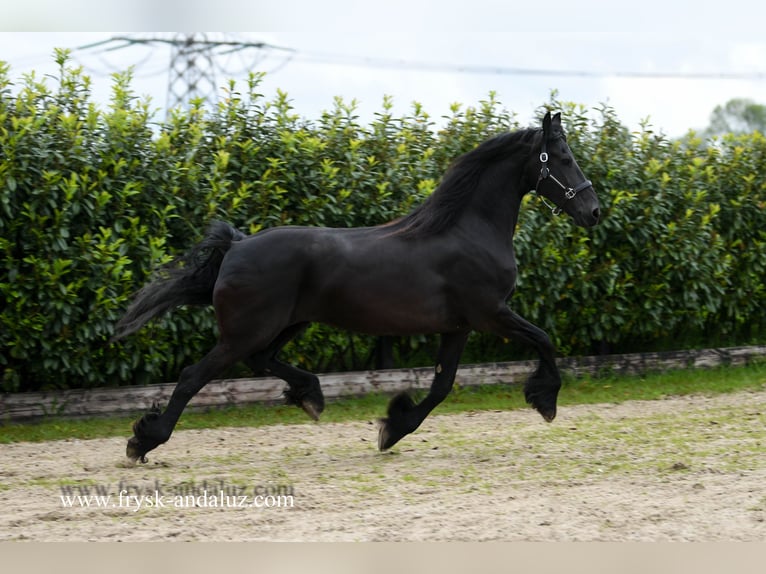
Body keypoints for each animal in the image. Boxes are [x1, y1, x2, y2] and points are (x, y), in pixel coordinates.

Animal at [112, 111, 600, 463]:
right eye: (562, 157)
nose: (593, 211)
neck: (468, 230)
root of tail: (236, 245)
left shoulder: (459, 326)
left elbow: (441, 386)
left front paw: (393, 427)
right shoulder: (491, 313)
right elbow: (544, 340)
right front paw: (545, 401)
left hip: (287, 324)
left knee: (262, 360)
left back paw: (311, 396)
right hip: (247, 331)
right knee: (194, 377)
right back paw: (143, 442)